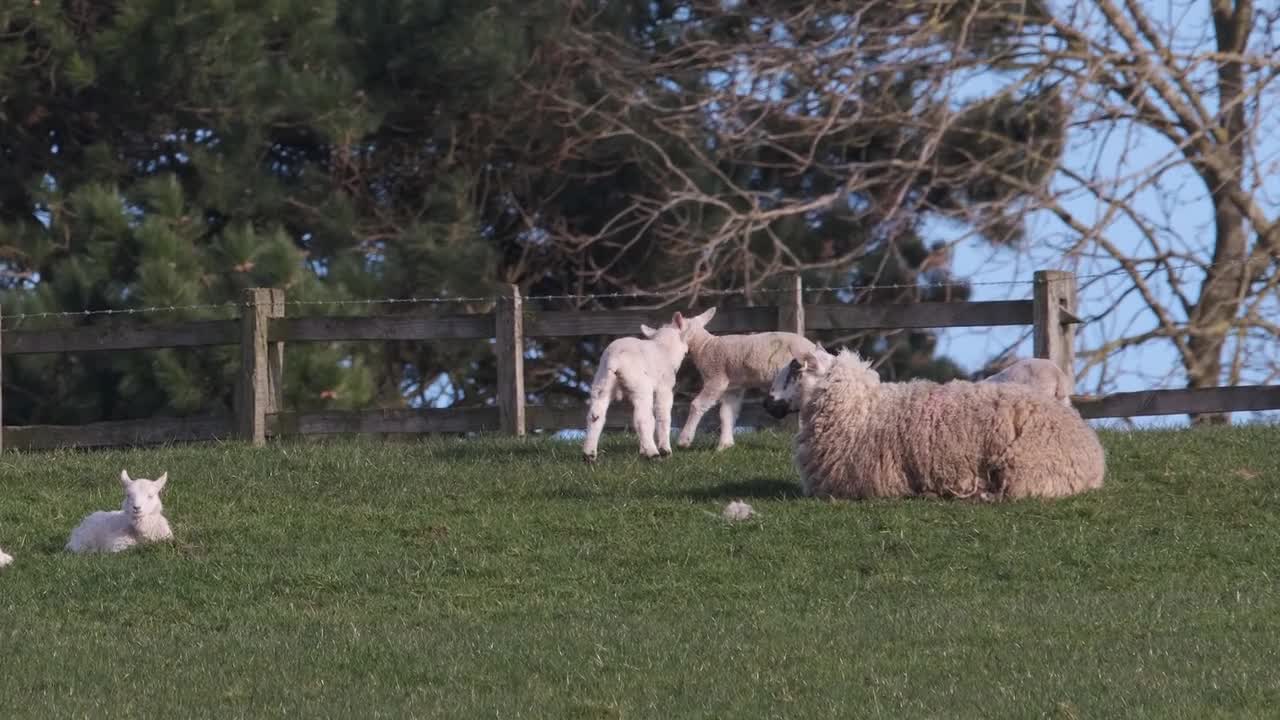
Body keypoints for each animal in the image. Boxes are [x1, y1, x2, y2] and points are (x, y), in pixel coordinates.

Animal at [586, 311, 706, 461]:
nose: (688, 351)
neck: (665, 348)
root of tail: (614, 359)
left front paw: (642, 451)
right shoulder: (664, 388)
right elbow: (663, 416)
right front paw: (665, 450)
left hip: (601, 382)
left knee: (595, 415)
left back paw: (589, 455)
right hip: (641, 386)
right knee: (642, 419)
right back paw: (653, 453)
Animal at [675, 302, 814, 448]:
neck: (704, 346)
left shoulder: (716, 377)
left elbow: (697, 404)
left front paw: (684, 440)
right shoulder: (733, 386)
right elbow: (727, 413)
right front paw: (725, 445)